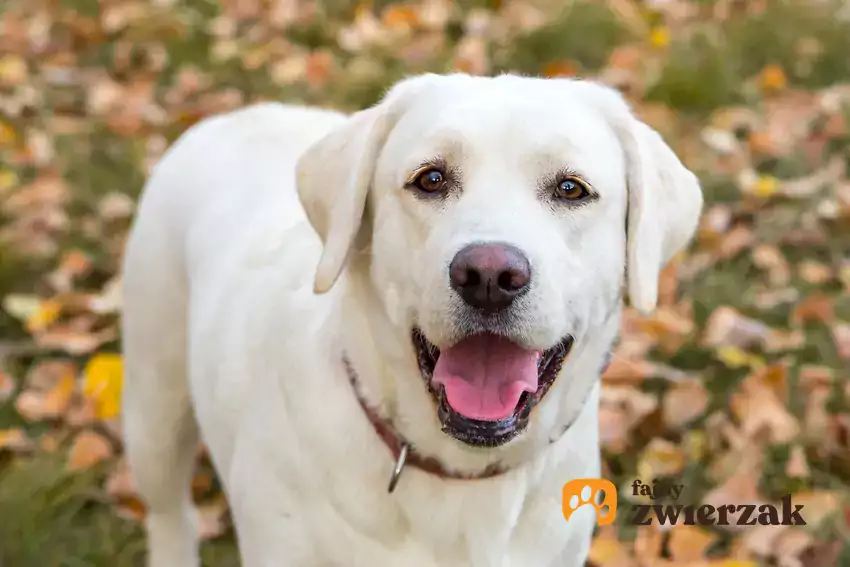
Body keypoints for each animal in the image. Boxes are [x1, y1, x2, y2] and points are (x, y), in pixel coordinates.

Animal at [119, 73, 704, 564]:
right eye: (431, 179)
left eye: (570, 189)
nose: (488, 275)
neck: (461, 478)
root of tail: (231, 116)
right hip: (154, 408)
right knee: (170, 511)